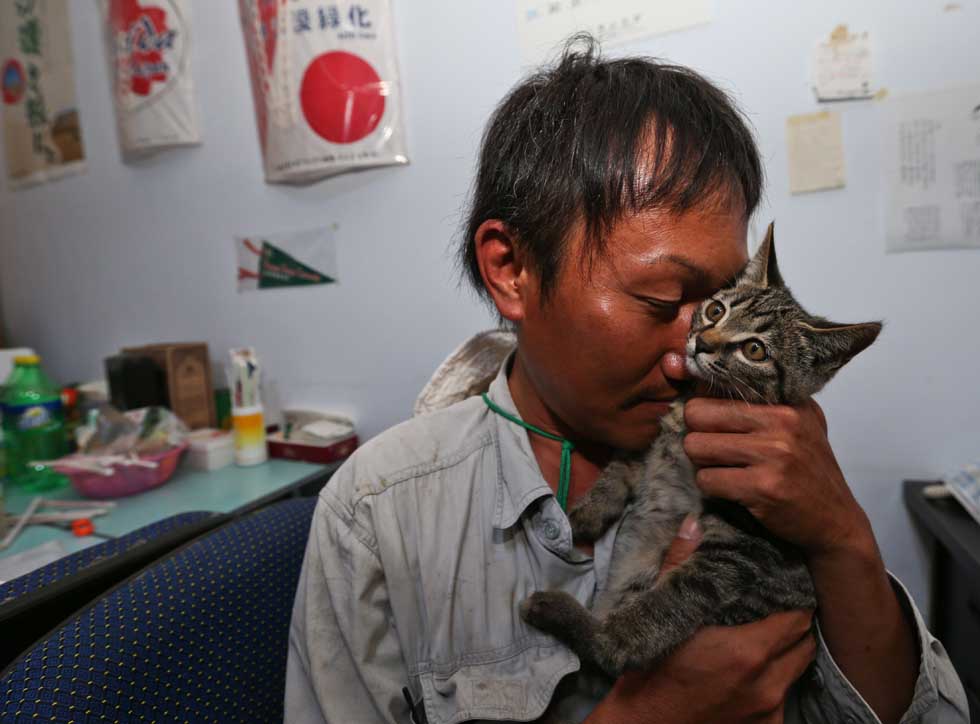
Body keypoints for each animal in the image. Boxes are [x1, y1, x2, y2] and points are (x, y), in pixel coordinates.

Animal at [520, 223, 880, 676]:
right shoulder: (651, 440)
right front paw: (586, 514)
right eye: (715, 311)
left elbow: (666, 607)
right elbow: (621, 466)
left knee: (619, 649)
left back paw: (567, 618)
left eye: (755, 350)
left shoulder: (744, 543)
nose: (702, 342)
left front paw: (614, 634)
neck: (694, 407)